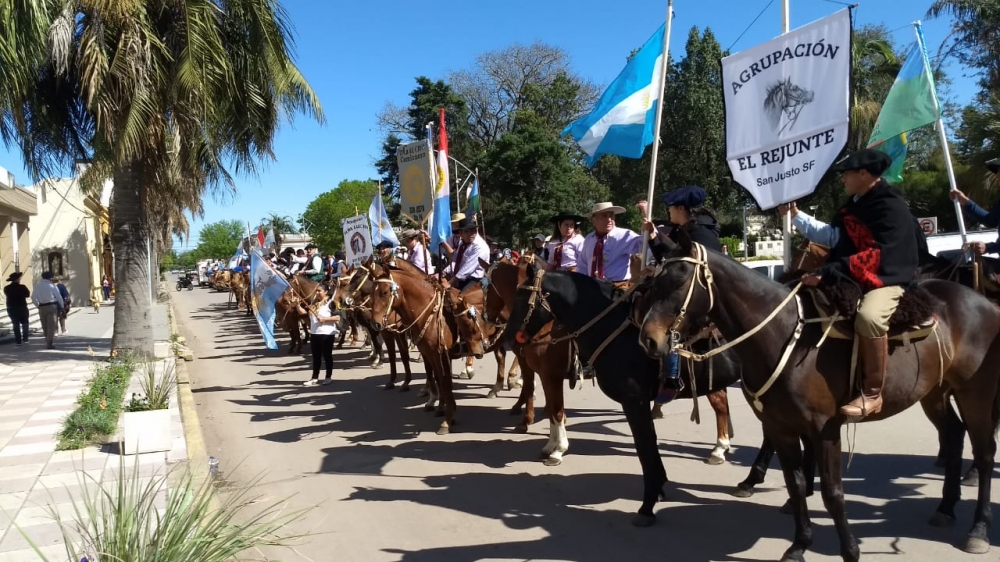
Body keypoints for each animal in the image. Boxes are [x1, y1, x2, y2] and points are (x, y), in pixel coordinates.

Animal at [504, 256, 748, 520]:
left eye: (521, 295)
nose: (507, 336)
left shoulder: (628, 398)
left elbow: (642, 446)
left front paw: (558, 450)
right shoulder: (548, 376)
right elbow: (552, 410)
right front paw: (550, 446)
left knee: (723, 407)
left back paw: (724, 454)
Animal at [640, 229, 1000, 560]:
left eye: (678, 281)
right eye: (652, 283)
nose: (649, 340)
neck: (784, 334)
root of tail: (983, 303)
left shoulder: (824, 430)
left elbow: (833, 492)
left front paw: (850, 550)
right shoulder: (781, 428)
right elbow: (797, 484)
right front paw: (799, 545)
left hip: (975, 394)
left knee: (983, 454)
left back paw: (979, 529)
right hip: (934, 393)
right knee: (954, 436)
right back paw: (946, 508)